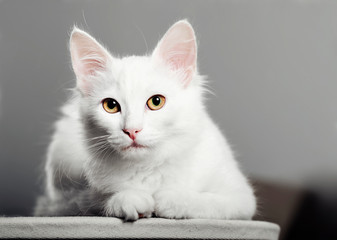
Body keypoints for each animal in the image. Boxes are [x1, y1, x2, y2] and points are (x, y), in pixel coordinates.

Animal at [34, 19, 255, 220]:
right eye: (111, 106)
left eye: (156, 102)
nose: (132, 130)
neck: (148, 167)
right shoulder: (61, 201)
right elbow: (96, 199)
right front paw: (128, 199)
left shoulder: (242, 197)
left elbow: (210, 202)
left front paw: (173, 199)